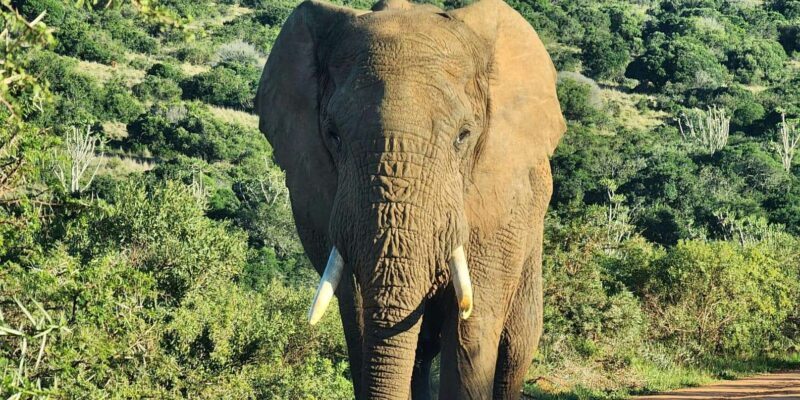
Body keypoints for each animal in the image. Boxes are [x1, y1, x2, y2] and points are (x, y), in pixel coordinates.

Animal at [254, 0, 565, 398]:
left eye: (463, 136)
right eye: (333, 134)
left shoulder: (497, 208)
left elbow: (471, 333)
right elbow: (358, 317)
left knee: (516, 345)